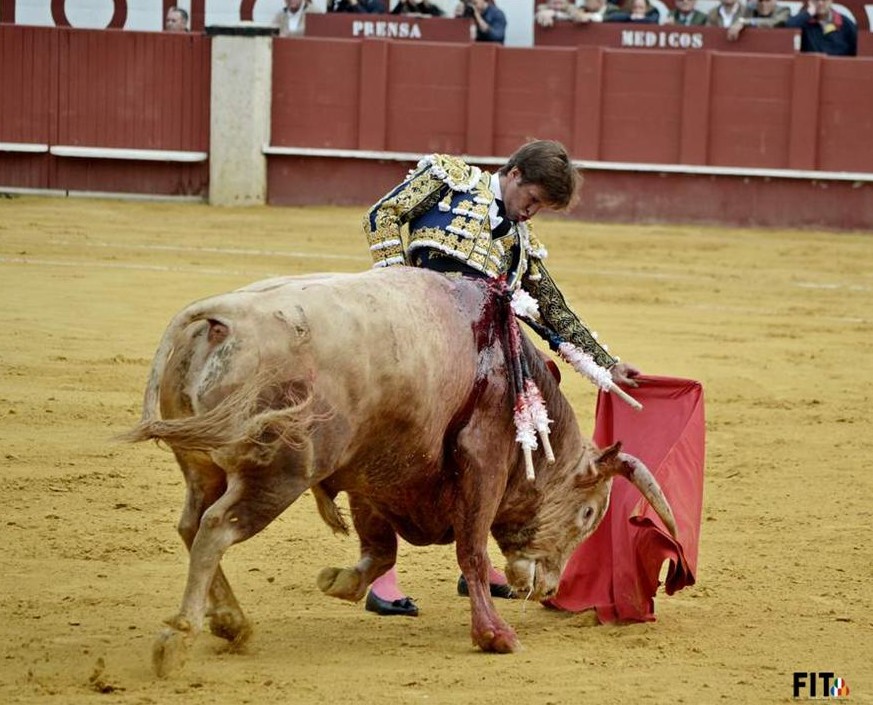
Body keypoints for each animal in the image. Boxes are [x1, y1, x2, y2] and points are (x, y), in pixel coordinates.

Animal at [121, 267, 676, 677]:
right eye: (588, 515)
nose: (548, 590)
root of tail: (221, 316)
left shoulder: (374, 472)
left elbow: (379, 548)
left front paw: (339, 580)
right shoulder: (482, 461)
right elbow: (472, 552)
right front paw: (495, 635)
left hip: (202, 464)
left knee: (192, 523)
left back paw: (232, 624)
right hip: (278, 473)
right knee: (216, 528)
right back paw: (179, 638)